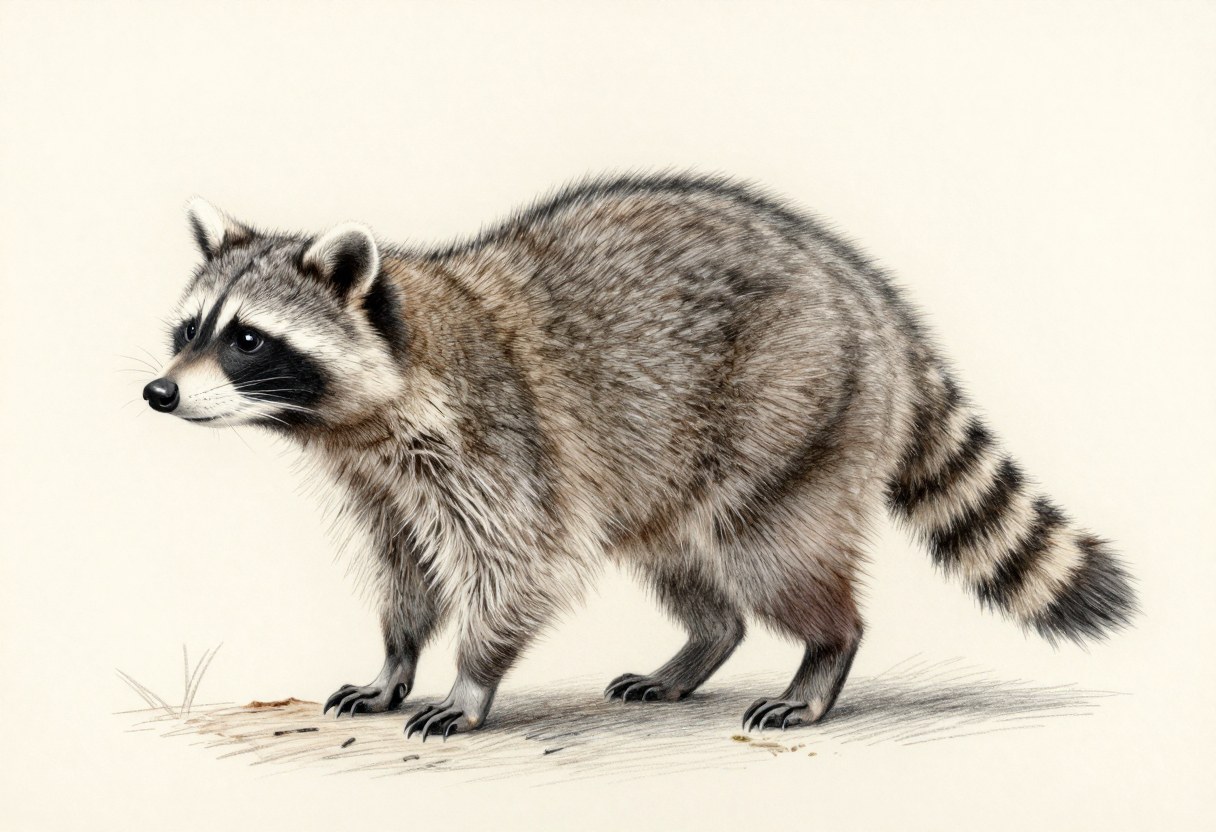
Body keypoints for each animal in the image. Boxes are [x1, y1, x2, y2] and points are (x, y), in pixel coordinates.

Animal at [143, 174, 1136, 739]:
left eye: (248, 341)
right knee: (689, 566)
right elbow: (407, 573)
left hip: (800, 410)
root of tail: (875, 299)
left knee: (774, 551)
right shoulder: (383, 484)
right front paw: (395, 659)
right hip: (666, 463)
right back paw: (700, 645)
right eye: (189, 331)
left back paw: (824, 653)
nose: (159, 393)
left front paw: (471, 677)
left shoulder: (498, 442)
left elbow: (521, 565)